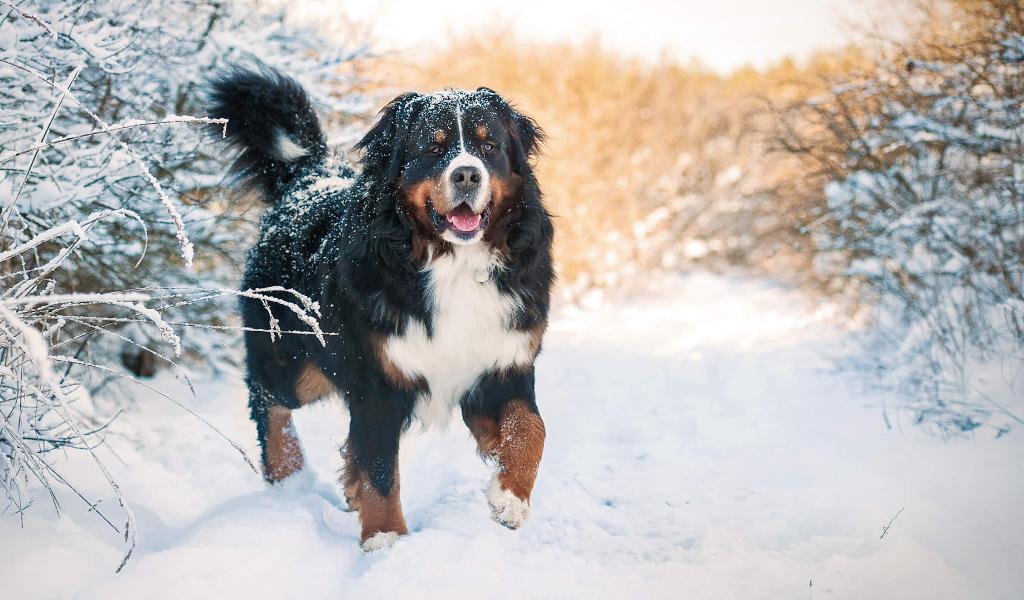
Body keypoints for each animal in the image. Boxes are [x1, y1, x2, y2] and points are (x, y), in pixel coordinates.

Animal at [207, 67, 557, 548]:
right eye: (433, 147)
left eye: (490, 146)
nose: (467, 175)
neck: (452, 263)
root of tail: (309, 178)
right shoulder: (377, 379)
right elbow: (380, 469)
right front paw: (385, 538)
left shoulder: (503, 363)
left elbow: (530, 430)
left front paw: (510, 500)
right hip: (296, 364)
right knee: (268, 399)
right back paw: (289, 474)